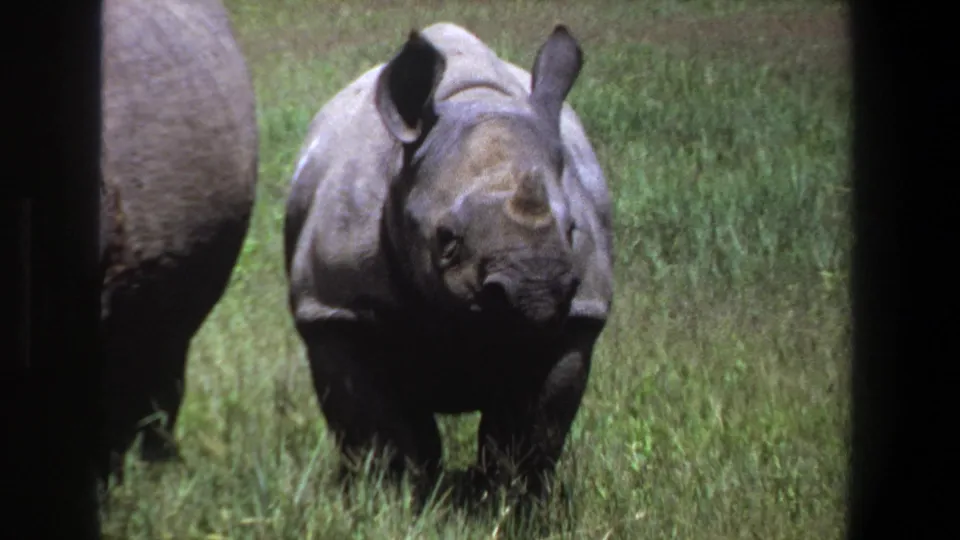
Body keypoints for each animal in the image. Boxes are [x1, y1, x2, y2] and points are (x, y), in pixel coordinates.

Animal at [284, 22, 613, 502]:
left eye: (572, 228)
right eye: (447, 239)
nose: (536, 290)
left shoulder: (578, 314)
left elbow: (530, 432)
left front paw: (512, 503)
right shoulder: (334, 309)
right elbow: (377, 429)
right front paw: (393, 500)